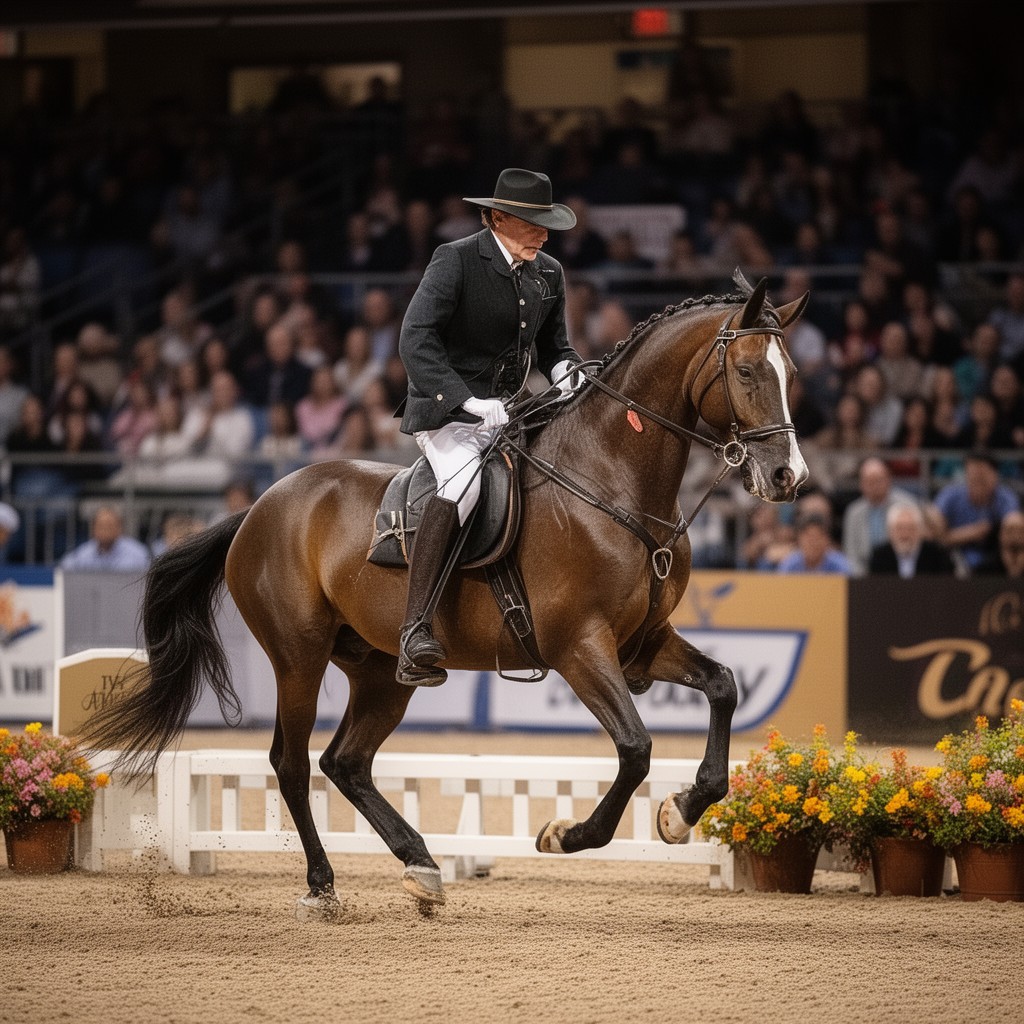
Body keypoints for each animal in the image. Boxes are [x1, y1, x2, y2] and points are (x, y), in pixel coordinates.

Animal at [84, 270, 809, 918]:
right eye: (748, 372)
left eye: (793, 375)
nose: (788, 477)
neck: (613, 482)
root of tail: (259, 507)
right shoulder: (580, 648)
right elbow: (635, 750)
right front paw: (566, 834)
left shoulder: (643, 645)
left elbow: (723, 688)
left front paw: (679, 812)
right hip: (298, 656)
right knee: (290, 762)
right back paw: (323, 885)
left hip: (381, 670)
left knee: (346, 762)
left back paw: (422, 865)